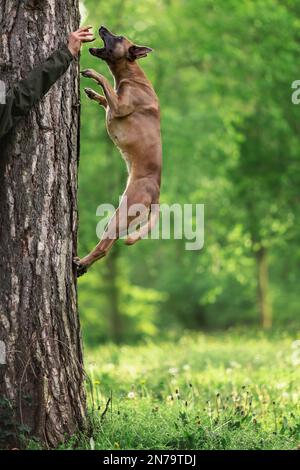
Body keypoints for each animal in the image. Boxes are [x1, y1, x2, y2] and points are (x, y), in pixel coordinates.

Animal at [74, 25, 162, 278]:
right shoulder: (114, 104)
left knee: (105, 246)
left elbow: (105, 82)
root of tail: (156, 196)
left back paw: (82, 262)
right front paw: (94, 94)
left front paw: (93, 74)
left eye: (120, 37)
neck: (132, 75)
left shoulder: (121, 105)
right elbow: (105, 97)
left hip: (120, 215)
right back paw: (83, 265)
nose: (102, 27)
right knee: (108, 245)